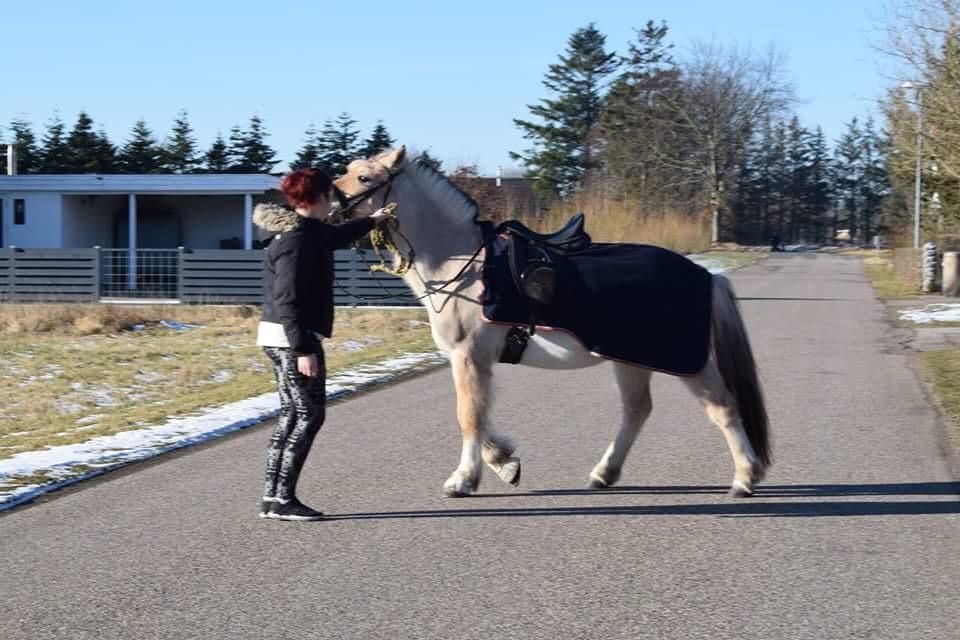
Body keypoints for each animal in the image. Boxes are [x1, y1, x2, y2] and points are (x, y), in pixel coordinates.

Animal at [334, 146, 768, 500]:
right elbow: (480, 415)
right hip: (631, 360)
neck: (462, 265)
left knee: (723, 408)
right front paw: (504, 462)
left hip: (686, 363)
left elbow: (468, 416)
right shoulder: (474, 361)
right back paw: (604, 473)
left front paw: (463, 480)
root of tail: (707, 275)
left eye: (365, 178)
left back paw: (745, 477)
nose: (329, 203)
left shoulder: (468, 356)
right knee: (637, 410)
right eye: (348, 169)